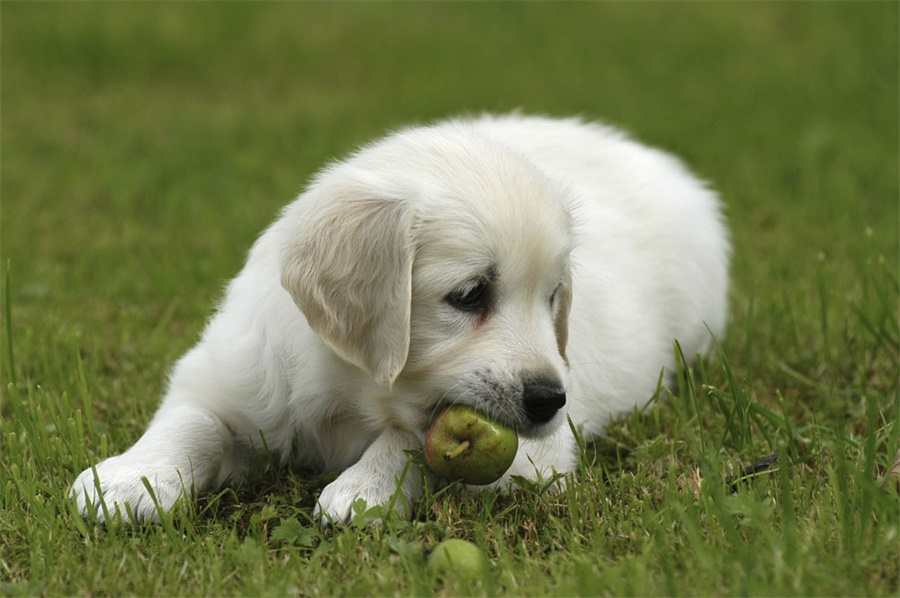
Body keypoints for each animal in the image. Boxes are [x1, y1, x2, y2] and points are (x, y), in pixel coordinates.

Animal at [72, 113, 732, 524]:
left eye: (553, 299)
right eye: (470, 295)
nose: (551, 400)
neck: (352, 391)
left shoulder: (534, 459)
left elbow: (415, 437)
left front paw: (363, 490)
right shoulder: (229, 371)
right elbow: (191, 420)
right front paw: (131, 479)